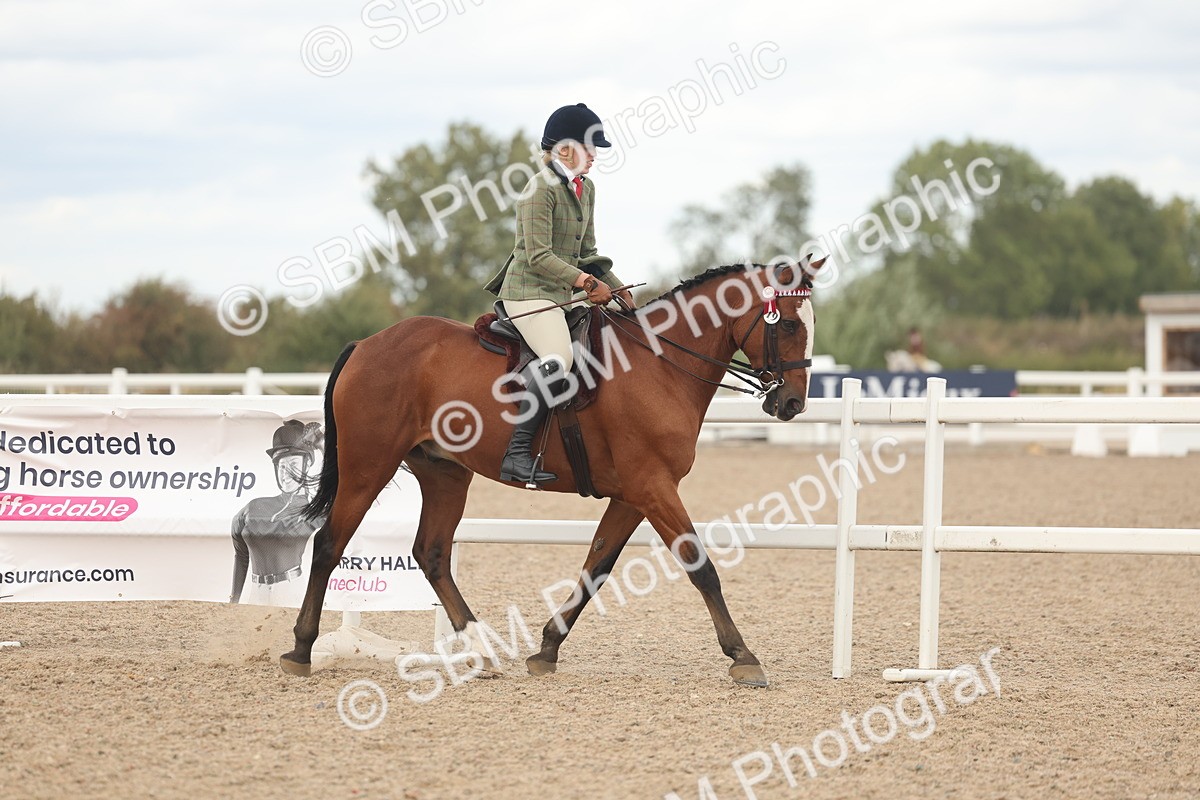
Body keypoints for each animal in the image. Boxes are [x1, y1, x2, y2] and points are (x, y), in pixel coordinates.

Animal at [280, 258, 821, 687]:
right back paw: (301, 649)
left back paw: (482, 650)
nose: (792, 403)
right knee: (329, 544)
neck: (661, 365)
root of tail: (366, 344)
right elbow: (700, 566)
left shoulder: (634, 494)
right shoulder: (653, 487)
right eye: (789, 326)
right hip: (368, 466)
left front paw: (545, 649)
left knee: (431, 555)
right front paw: (743, 656)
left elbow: (596, 567)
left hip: (444, 474)